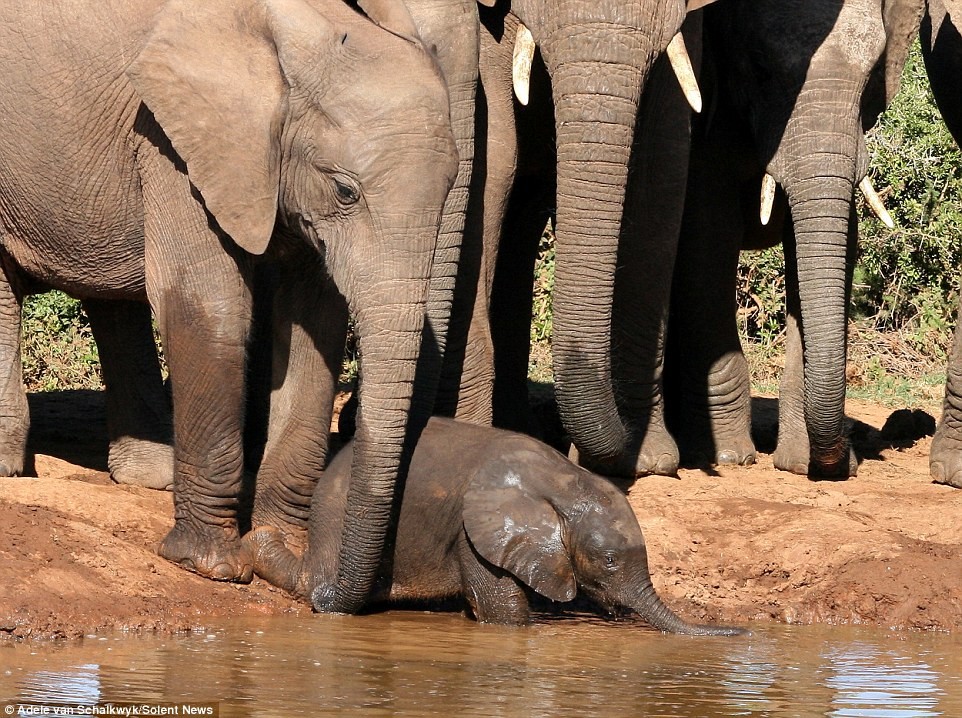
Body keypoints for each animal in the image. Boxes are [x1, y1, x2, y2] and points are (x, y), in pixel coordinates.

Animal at [0, 0, 456, 612]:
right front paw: (213, 565)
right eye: (345, 191)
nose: (315, 586)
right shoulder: (174, 140)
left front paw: (276, 543)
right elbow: (210, 302)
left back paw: (149, 477)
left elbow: (314, 325)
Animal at [664, 0, 920, 480]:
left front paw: (803, 464)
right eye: (759, 68)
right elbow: (709, 233)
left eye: (873, 74)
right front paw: (729, 457)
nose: (836, 465)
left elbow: (831, 242)